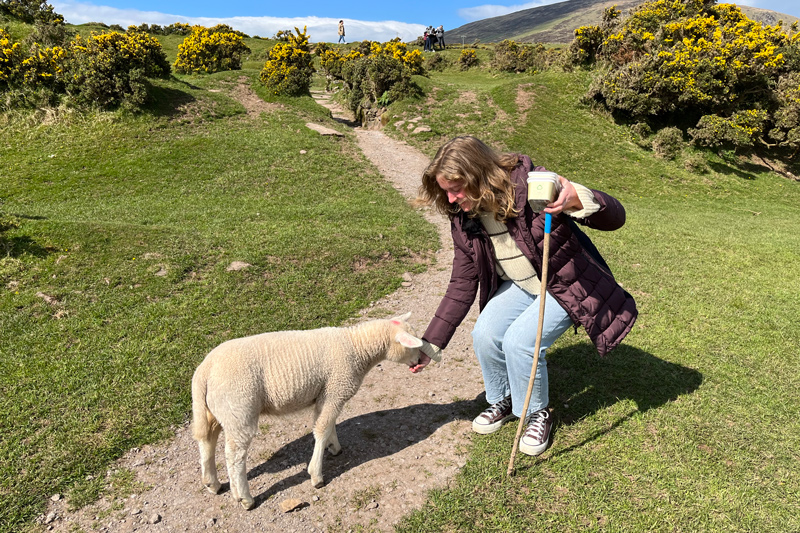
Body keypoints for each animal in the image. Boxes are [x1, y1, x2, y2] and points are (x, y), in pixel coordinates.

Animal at [191, 314, 424, 510]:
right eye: (412, 345)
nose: (420, 362)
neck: (356, 347)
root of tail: (204, 370)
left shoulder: (328, 394)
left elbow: (328, 424)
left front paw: (334, 447)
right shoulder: (336, 389)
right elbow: (321, 429)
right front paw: (316, 475)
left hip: (216, 410)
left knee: (207, 440)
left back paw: (212, 483)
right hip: (239, 408)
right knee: (235, 456)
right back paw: (245, 498)